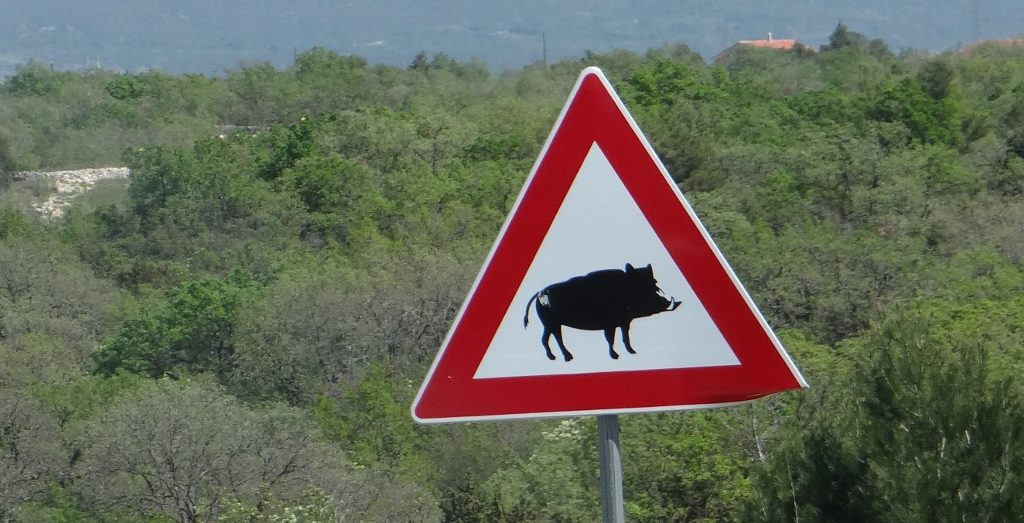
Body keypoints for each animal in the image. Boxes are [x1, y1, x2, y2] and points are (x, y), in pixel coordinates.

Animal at [523, 263, 681, 362]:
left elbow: (625, 337)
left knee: (546, 338)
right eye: (640, 287)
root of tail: (540, 293)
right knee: (554, 338)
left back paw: (557, 357)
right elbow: (610, 339)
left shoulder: (624, 322)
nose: (667, 301)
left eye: (655, 284)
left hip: (550, 324)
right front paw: (615, 356)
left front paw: (632, 352)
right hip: (551, 323)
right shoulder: (609, 324)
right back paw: (566, 358)